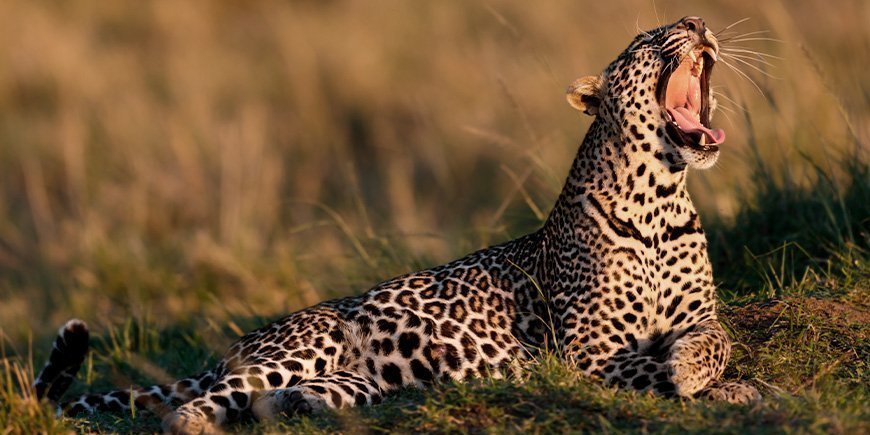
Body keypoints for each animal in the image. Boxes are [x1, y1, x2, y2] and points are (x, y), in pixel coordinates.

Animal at [34, 16, 760, 434]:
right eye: (646, 39)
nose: (695, 19)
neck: (660, 197)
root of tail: (236, 346)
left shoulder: (697, 310)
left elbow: (718, 335)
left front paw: (709, 369)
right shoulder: (587, 350)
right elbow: (642, 367)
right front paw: (713, 384)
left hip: (354, 380)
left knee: (278, 401)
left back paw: (299, 408)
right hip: (298, 347)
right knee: (195, 406)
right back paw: (202, 421)